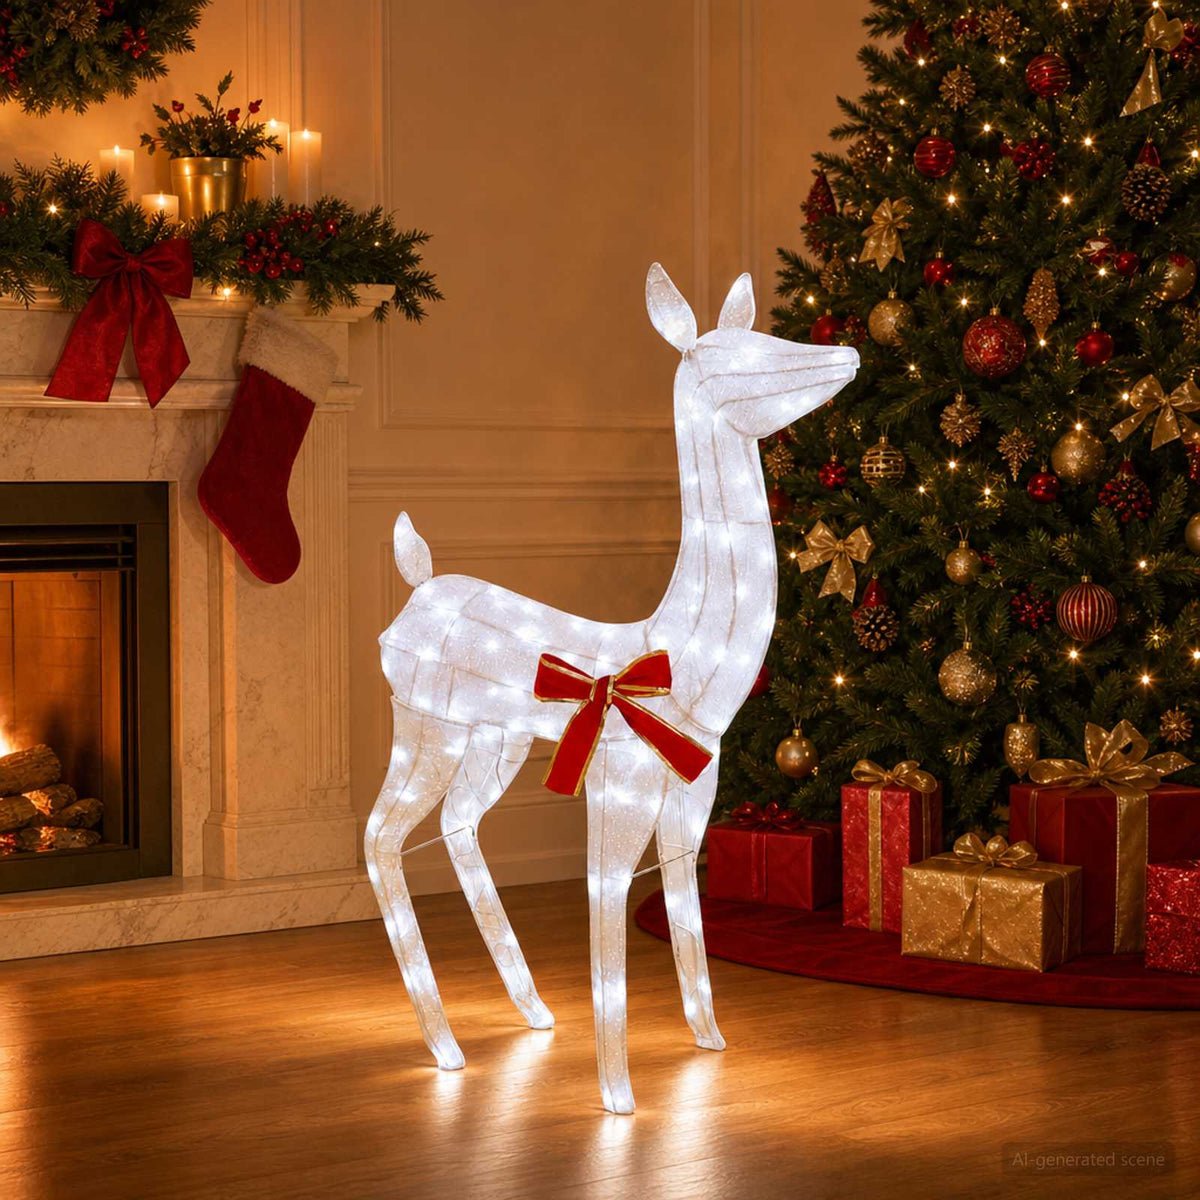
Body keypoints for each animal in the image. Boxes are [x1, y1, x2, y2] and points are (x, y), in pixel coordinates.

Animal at [365, 263, 859, 1113]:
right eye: (740, 355)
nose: (848, 352)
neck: (685, 670)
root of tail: (416, 582)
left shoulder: (694, 799)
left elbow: (688, 915)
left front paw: (710, 1042)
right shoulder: (615, 790)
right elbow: (607, 921)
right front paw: (619, 1100)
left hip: (494, 742)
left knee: (458, 825)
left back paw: (533, 1013)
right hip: (425, 728)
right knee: (379, 838)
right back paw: (448, 1049)